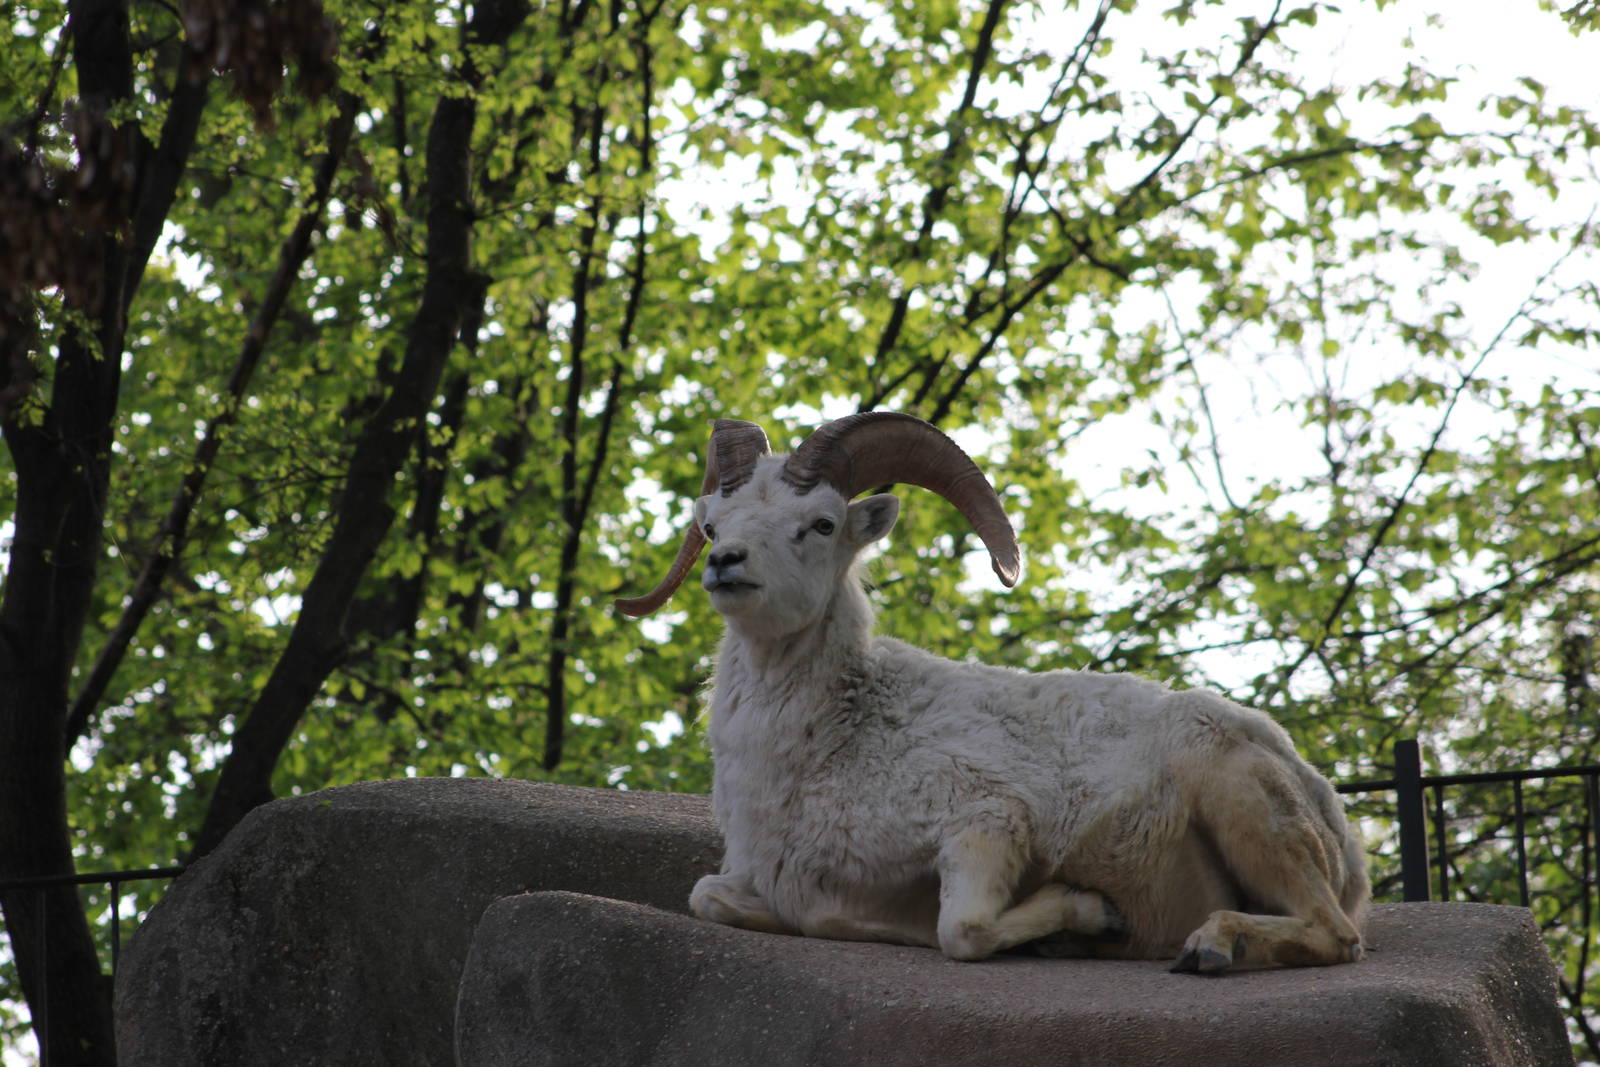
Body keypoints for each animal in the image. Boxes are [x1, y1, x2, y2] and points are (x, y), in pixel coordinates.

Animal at [616, 411, 1369, 972]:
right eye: (712, 522)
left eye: (822, 523)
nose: (725, 563)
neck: (830, 745)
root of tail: (1332, 817)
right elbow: (708, 895)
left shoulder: (989, 823)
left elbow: (963, 930)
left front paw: (1089, 914)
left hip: (1242, 799)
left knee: (1335, 933)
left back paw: (1209, 947)